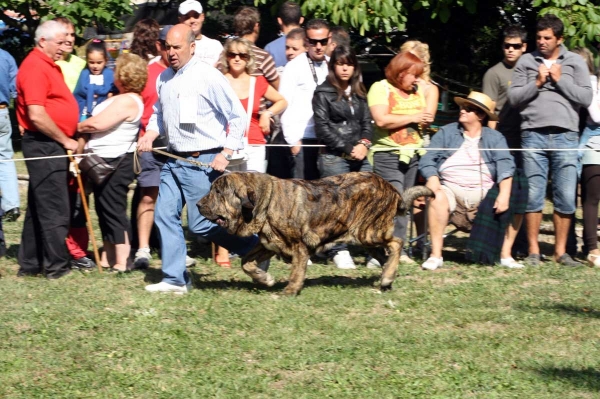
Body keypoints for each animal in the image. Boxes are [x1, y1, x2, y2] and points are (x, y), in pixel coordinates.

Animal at [199, 172, 434, 296]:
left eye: (218, 192)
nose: (198, 204)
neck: (266, 201)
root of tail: (390, 188)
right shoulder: (268, 245)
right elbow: (246, 262)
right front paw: (264, 278)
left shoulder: (299, 246)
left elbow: (296, 271)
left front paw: (289, 291)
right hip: (368, 240)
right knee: (386, 255)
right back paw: (387, 278)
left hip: (369, 232)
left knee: (397, 243)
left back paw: (387, 277)